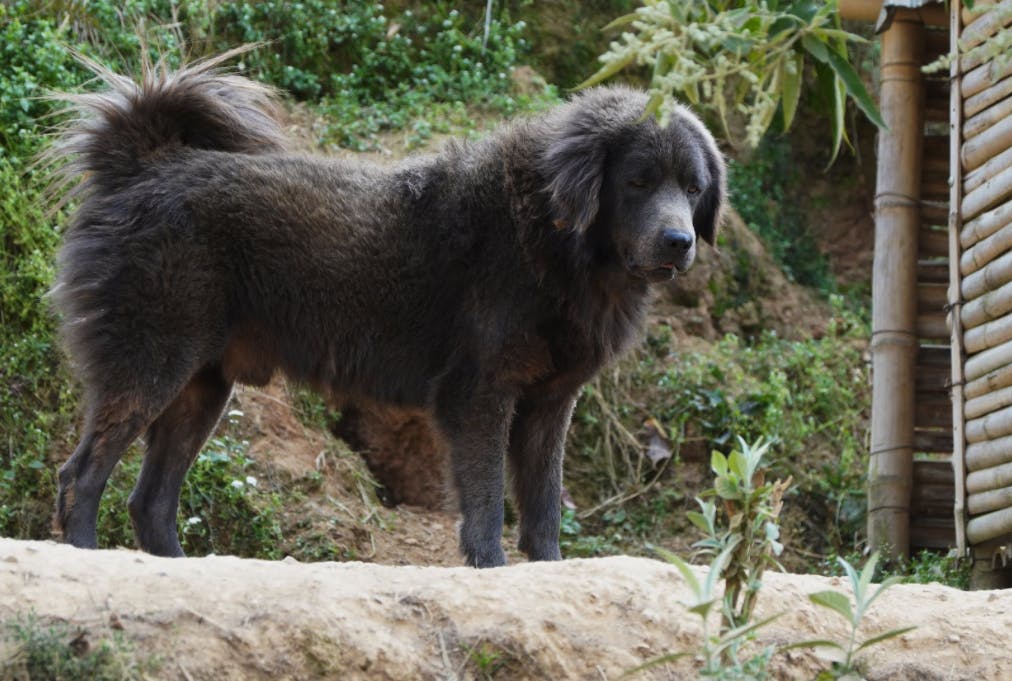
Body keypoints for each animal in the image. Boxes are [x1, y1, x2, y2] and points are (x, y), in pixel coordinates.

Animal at [47, 49, 724, 566]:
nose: (679, 241)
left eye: (693, 189)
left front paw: (548, 572)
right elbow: (486, 503)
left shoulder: (548, 404)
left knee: (150, 500)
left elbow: (543, 509)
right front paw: (490, 569)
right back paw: (85, 555)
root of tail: (145, 165)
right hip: (153, 364)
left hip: (200, 387)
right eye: (637, 182)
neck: (552, 237)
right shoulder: (478, 396)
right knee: (81, 474)